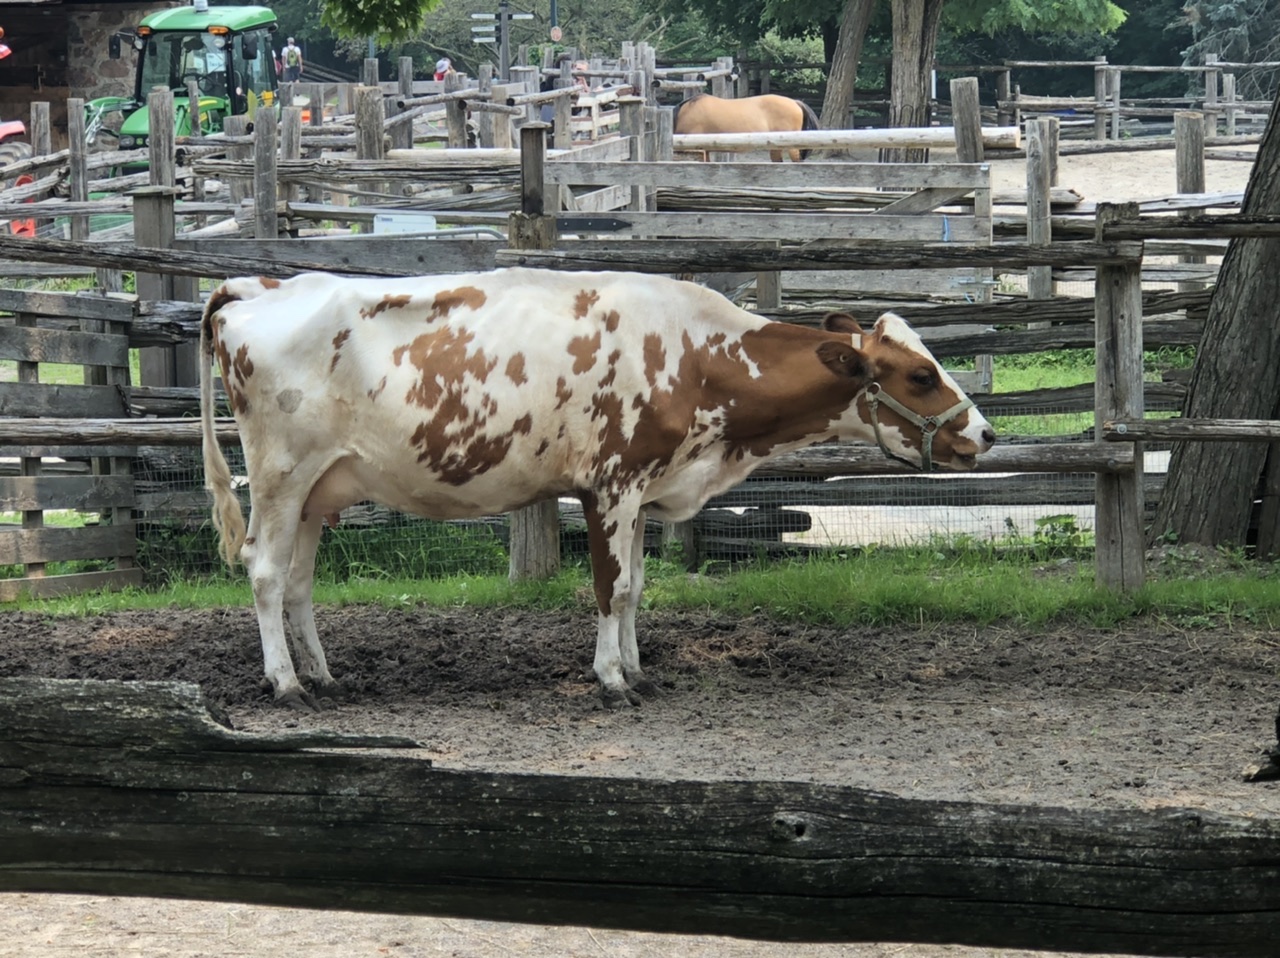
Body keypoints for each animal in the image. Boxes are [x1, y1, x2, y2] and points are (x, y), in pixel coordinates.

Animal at [199, 268, 995, 710]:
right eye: (920, 374)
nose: (985, 434)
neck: (698, 355)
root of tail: (260, 286)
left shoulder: (642, 493)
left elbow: (637, 587)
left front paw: (640, 671)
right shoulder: (610, 486)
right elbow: (610, 589)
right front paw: (612, 679)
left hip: (318, 490)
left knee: (299, 582)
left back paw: (324, 676)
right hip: (279, 475)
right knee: (266, 574)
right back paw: (286, 684)